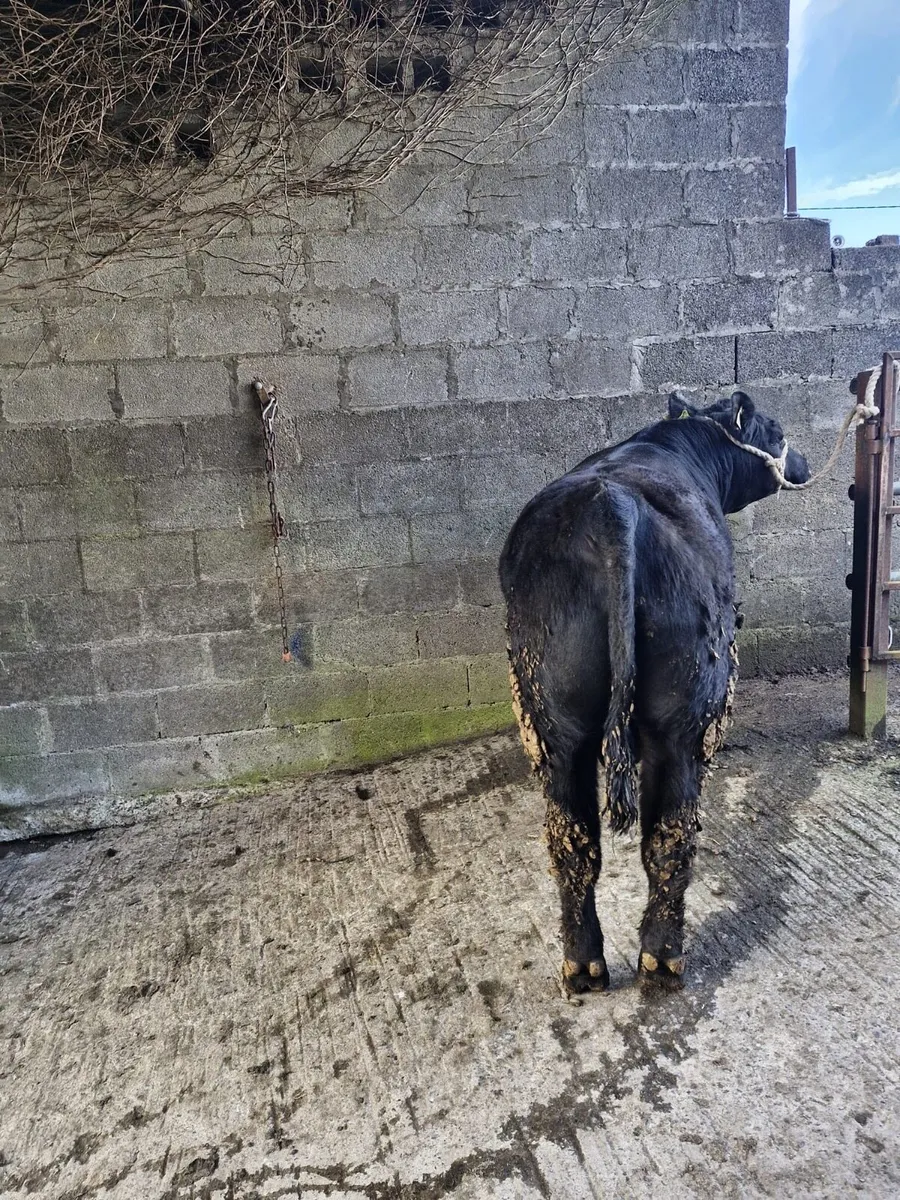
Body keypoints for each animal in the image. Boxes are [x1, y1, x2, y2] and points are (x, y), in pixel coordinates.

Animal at [499, 390, 810, 994]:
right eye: (777, 429)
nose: (802, 464)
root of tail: (611, 509)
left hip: (554, 722)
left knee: (574, 842)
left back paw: (584, 967)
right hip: (684, 720)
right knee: (670, 836)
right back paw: (662, 961)